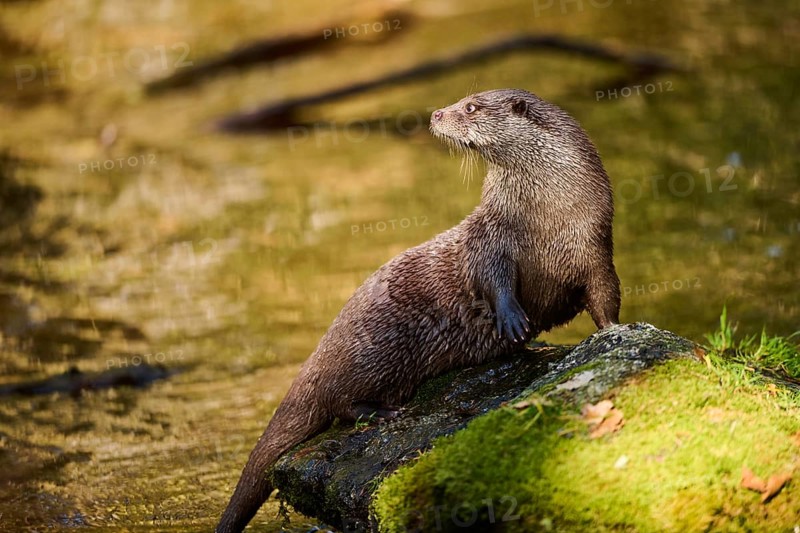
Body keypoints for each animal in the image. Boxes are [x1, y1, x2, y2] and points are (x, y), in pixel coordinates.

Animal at [216, 88, 620, 532]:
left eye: (471, 106)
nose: (437, 113)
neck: (545, 220)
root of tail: (321, 351)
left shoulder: (595, 242)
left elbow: (605, 295)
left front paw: (614, 331)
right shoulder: (491, 235)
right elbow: (492, 277)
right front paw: (513, 321)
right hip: (373, 352)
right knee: (338, 401)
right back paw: (380, 412)